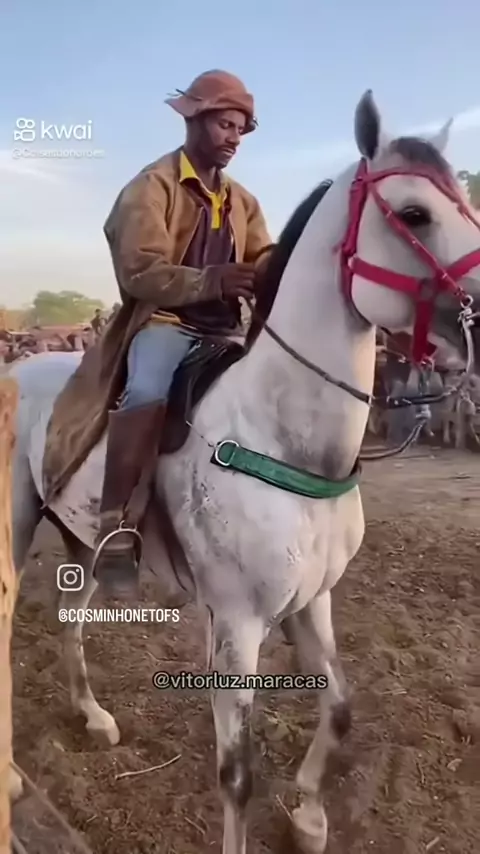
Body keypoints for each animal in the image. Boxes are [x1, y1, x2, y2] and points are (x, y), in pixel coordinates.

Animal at [8, 91, 480, 854]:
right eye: (414, 214)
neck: (287, 439)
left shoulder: (313, 601)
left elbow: (340, 706)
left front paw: (310, 815)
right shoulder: (238, 623)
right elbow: (238, 773)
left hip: (83, 541)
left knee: (71, 618)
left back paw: (93, 716)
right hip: (19, 526)